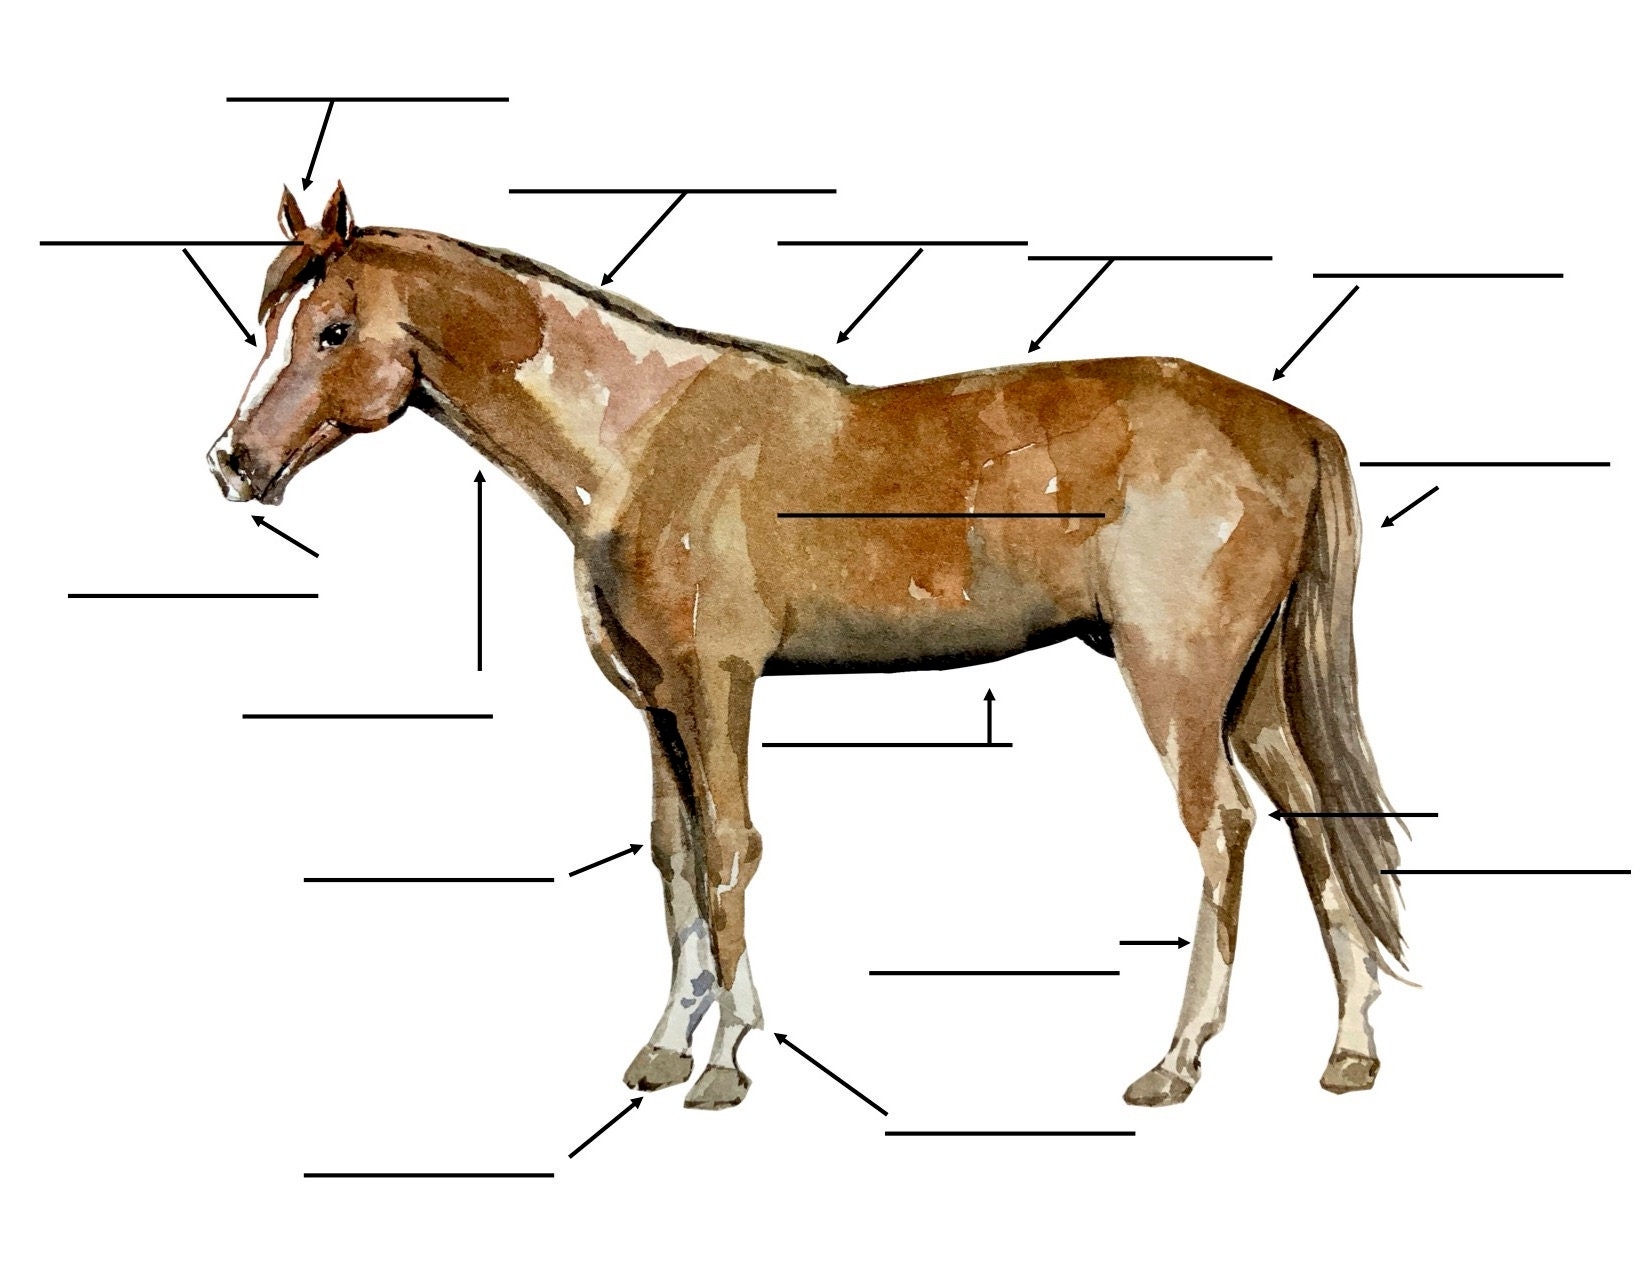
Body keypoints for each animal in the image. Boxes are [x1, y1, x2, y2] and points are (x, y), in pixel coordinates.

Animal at [208, 184, 1402, 1110]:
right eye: (268, 320)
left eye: (331, 330)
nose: (232, 461)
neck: (640, 445)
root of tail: (1292, 425)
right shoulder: (656, 701)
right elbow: (675, 856)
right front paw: (663, 1048)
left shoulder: (718, 682)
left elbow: (732, 850)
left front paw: (727, 1064)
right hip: (1253, 689)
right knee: (1314, 822)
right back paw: (1349, 1054)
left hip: (1178, 680)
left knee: (1223, 831)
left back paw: (1176, 1062)